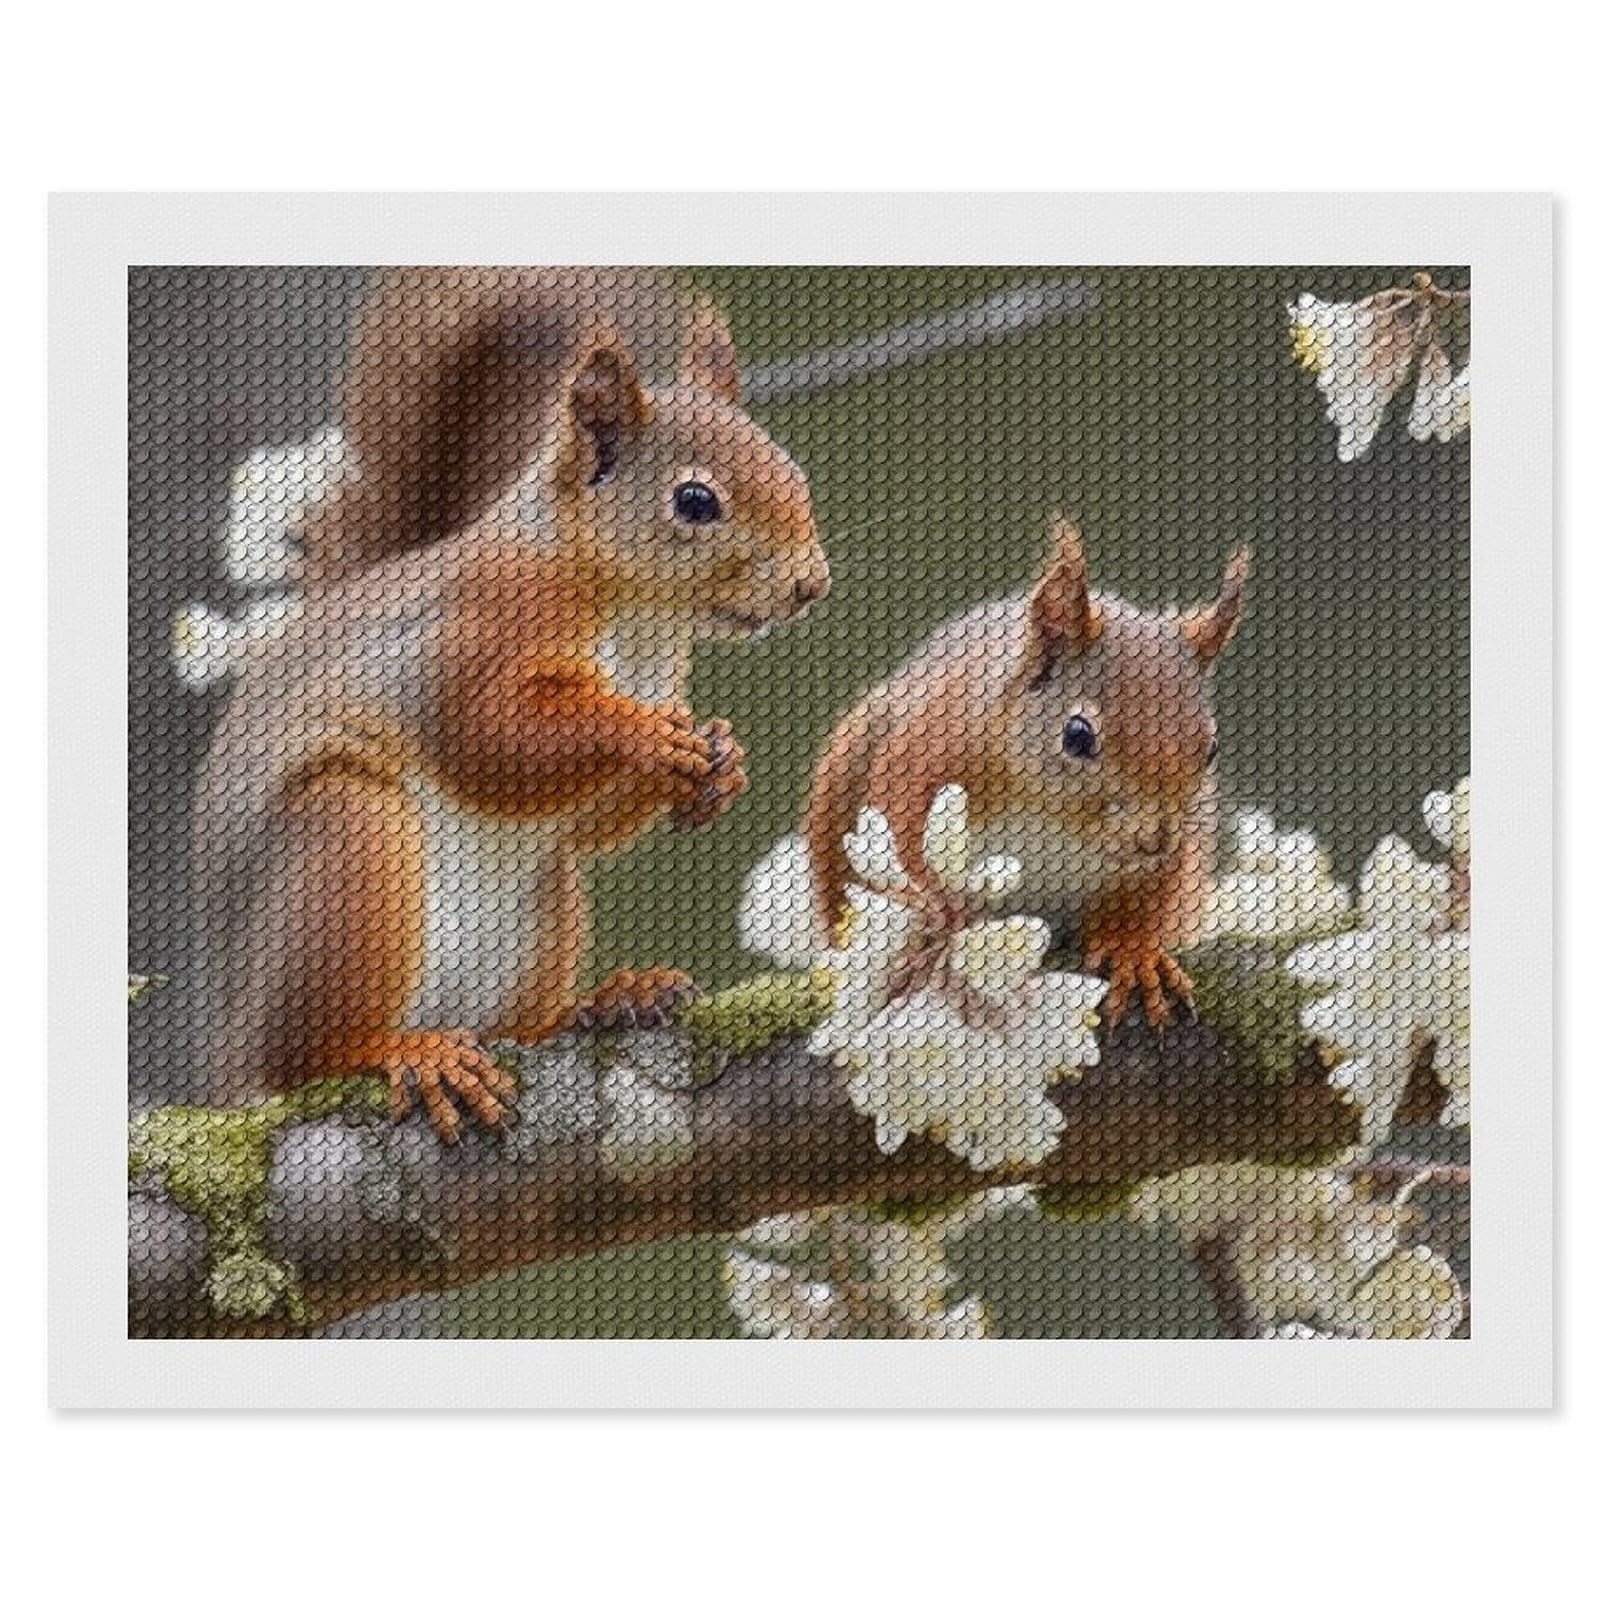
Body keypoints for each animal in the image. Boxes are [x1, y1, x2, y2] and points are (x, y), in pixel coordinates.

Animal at [190, 267, 830, 1141]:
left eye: (791, 469)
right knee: (305, 1058)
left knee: (521, 1018)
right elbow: (488, 743)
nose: (811, 584)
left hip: (544, 908)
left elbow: (589, 823)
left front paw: (720, 762)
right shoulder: (474, 633)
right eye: (696, 501)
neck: (637, 613)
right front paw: (640, 736)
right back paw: (404, 1052)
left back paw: (607, 1001)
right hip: (344, 847)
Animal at [803, 517, 1248, 1031]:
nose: (1154, 839)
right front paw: (938, 920)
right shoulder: (925, 759)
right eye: (1077, 736)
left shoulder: (1172, 854)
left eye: (1212, 749)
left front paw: (1133, 951)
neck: (1057, 818)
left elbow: (1144, 901)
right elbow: (906, 844)